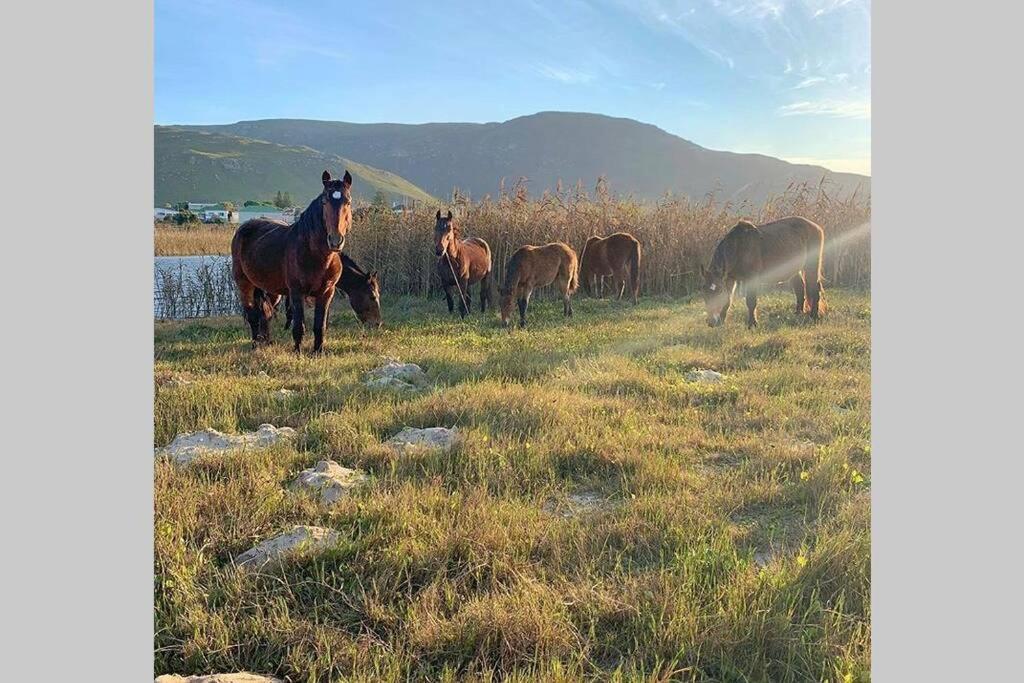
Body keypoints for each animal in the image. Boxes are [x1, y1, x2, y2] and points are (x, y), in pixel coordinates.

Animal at [231, 169, 352, 352]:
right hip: (245, 284)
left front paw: (318, 352)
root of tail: (243, 228)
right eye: (324, 201)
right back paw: (255, 345)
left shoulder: (326, 292)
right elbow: (298, 326)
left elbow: (320, 326)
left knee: (265, 314)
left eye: (348, 201)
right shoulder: (296, 293)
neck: (316, 256)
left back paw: (266, 341)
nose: (335, 240)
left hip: (272, 290)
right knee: (252, 315)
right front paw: (297, 351)